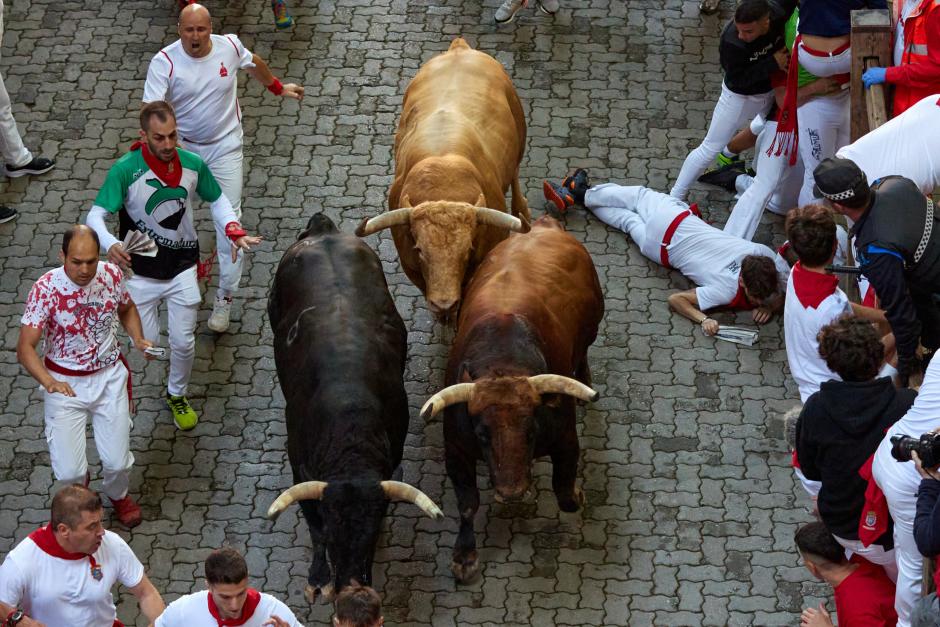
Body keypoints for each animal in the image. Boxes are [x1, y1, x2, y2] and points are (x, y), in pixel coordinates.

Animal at [264, 215, 440, 604]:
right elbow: (312, 524)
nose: (350, 583)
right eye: (333, 529)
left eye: (371, 534)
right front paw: (318, 577)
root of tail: (323, 230)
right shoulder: (299, 468)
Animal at [356, 38, 528, 318]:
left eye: (467, 250)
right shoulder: (411, 267)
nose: (443, 303)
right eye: (420, 250)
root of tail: (459, 47)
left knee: (515, 174)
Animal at [418, 216, 604, 584]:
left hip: (592, 327)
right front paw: (465, 555)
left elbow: (564, 492)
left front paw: (577, 493)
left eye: (531, 431)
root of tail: (545, 225)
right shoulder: (456, 450)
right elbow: (467, 504)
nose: (512, 491)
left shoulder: (566, 439)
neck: (502, 360)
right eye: (481, 434)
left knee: (585, 352)